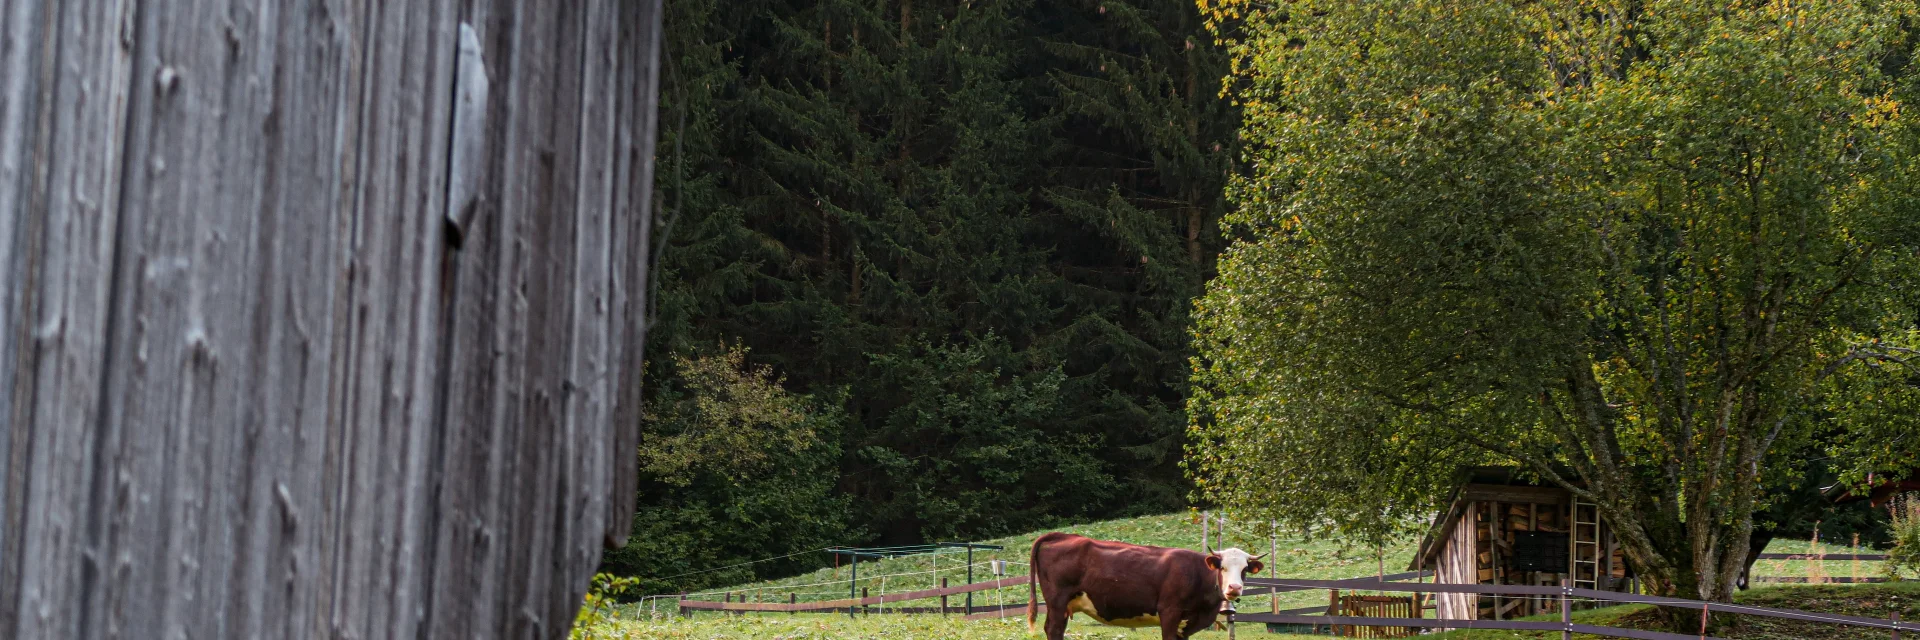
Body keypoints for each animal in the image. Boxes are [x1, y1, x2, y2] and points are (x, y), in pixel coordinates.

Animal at [1025, 532, 1265, 640]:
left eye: (1244, 569)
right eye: (1222, 568)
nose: (1234, 588)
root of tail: (1064, 536)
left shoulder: (1187, 625)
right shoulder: (1169, 612)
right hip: (1057, 602)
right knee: (1054, 629)